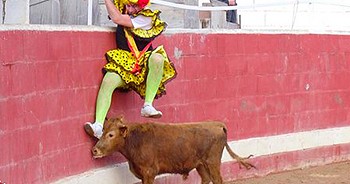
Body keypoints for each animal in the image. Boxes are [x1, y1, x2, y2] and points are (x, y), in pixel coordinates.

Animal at [91, 117, 254, 183]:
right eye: (103, 131)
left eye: (111, 134)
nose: (95, 150)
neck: (134, 139)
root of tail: (218, 125)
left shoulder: (149, 172)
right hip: (200, 164)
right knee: (206, 179)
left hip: (212, 162)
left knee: (217, 180)